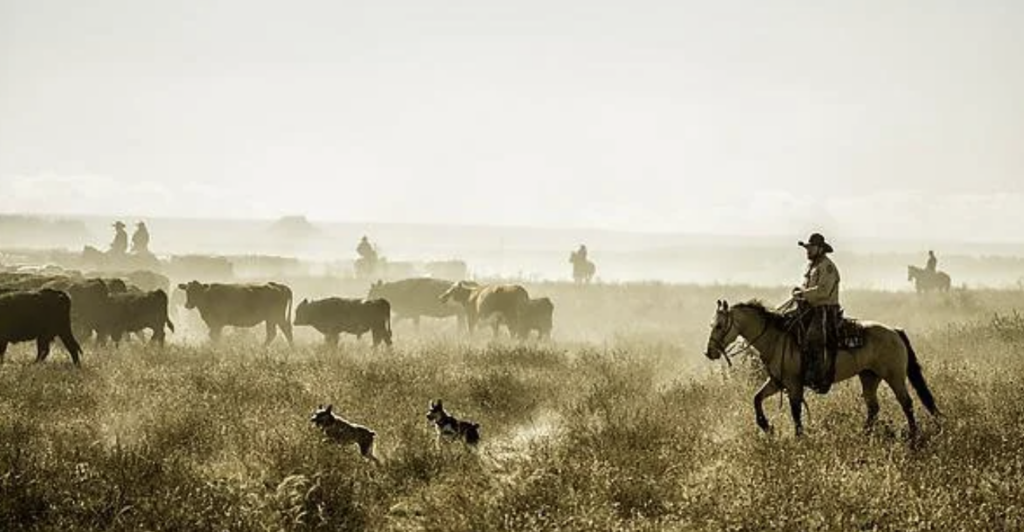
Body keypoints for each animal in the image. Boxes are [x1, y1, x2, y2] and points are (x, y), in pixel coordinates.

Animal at [704, 298, 937, 435]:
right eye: (712, 324)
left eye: (719, 325)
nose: (709, 352)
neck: (776, 338)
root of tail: (895, 331)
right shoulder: (777, 382)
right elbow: (756, 398)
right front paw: (766, 427)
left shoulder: (793, 384)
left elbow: (795, 411)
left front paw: (799, 437)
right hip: (869, 376)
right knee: (873, 407)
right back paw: (864, 434)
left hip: (894, 376)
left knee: (906, 403)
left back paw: (913, 437)